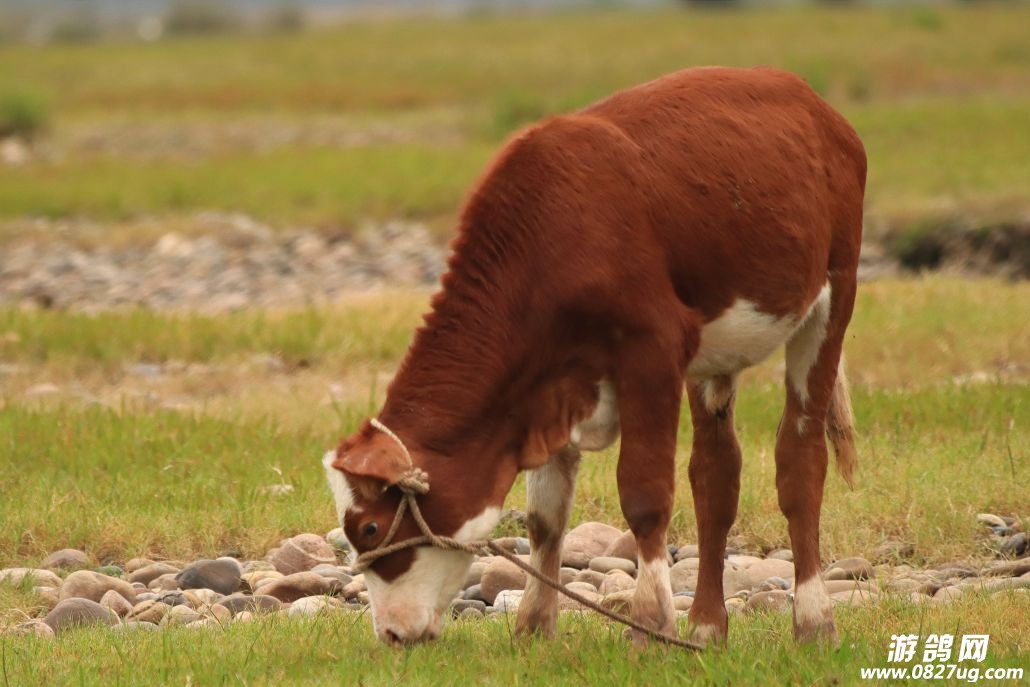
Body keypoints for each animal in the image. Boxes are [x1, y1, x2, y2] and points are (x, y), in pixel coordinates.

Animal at [324, 66, 865, 647]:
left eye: (371, 526)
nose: (391, 632)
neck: (552, 239)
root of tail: (809, 99)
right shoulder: (547, 383)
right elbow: (544, 515)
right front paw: (533, 627)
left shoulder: (653, 346)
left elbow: (645, 495)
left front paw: (649, 626)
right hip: (715, 352)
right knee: (715, 473)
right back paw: (704, 626)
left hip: (834, 294)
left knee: (800, 460)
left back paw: (813, 620)